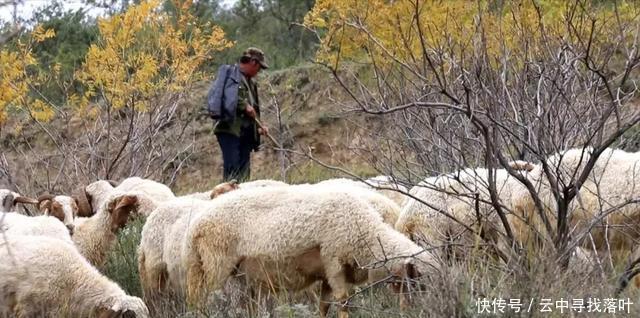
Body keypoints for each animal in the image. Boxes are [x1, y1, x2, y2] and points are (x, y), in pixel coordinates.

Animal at [178, 185, 440, 316]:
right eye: (417, 282)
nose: (416, 311)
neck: (367, 235)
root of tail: (194, 230)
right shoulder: (334, 260)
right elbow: (343, 302)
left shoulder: (326, 274)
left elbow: (324, 306)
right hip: (215, 265)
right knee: (205, 301)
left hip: (230, 273)